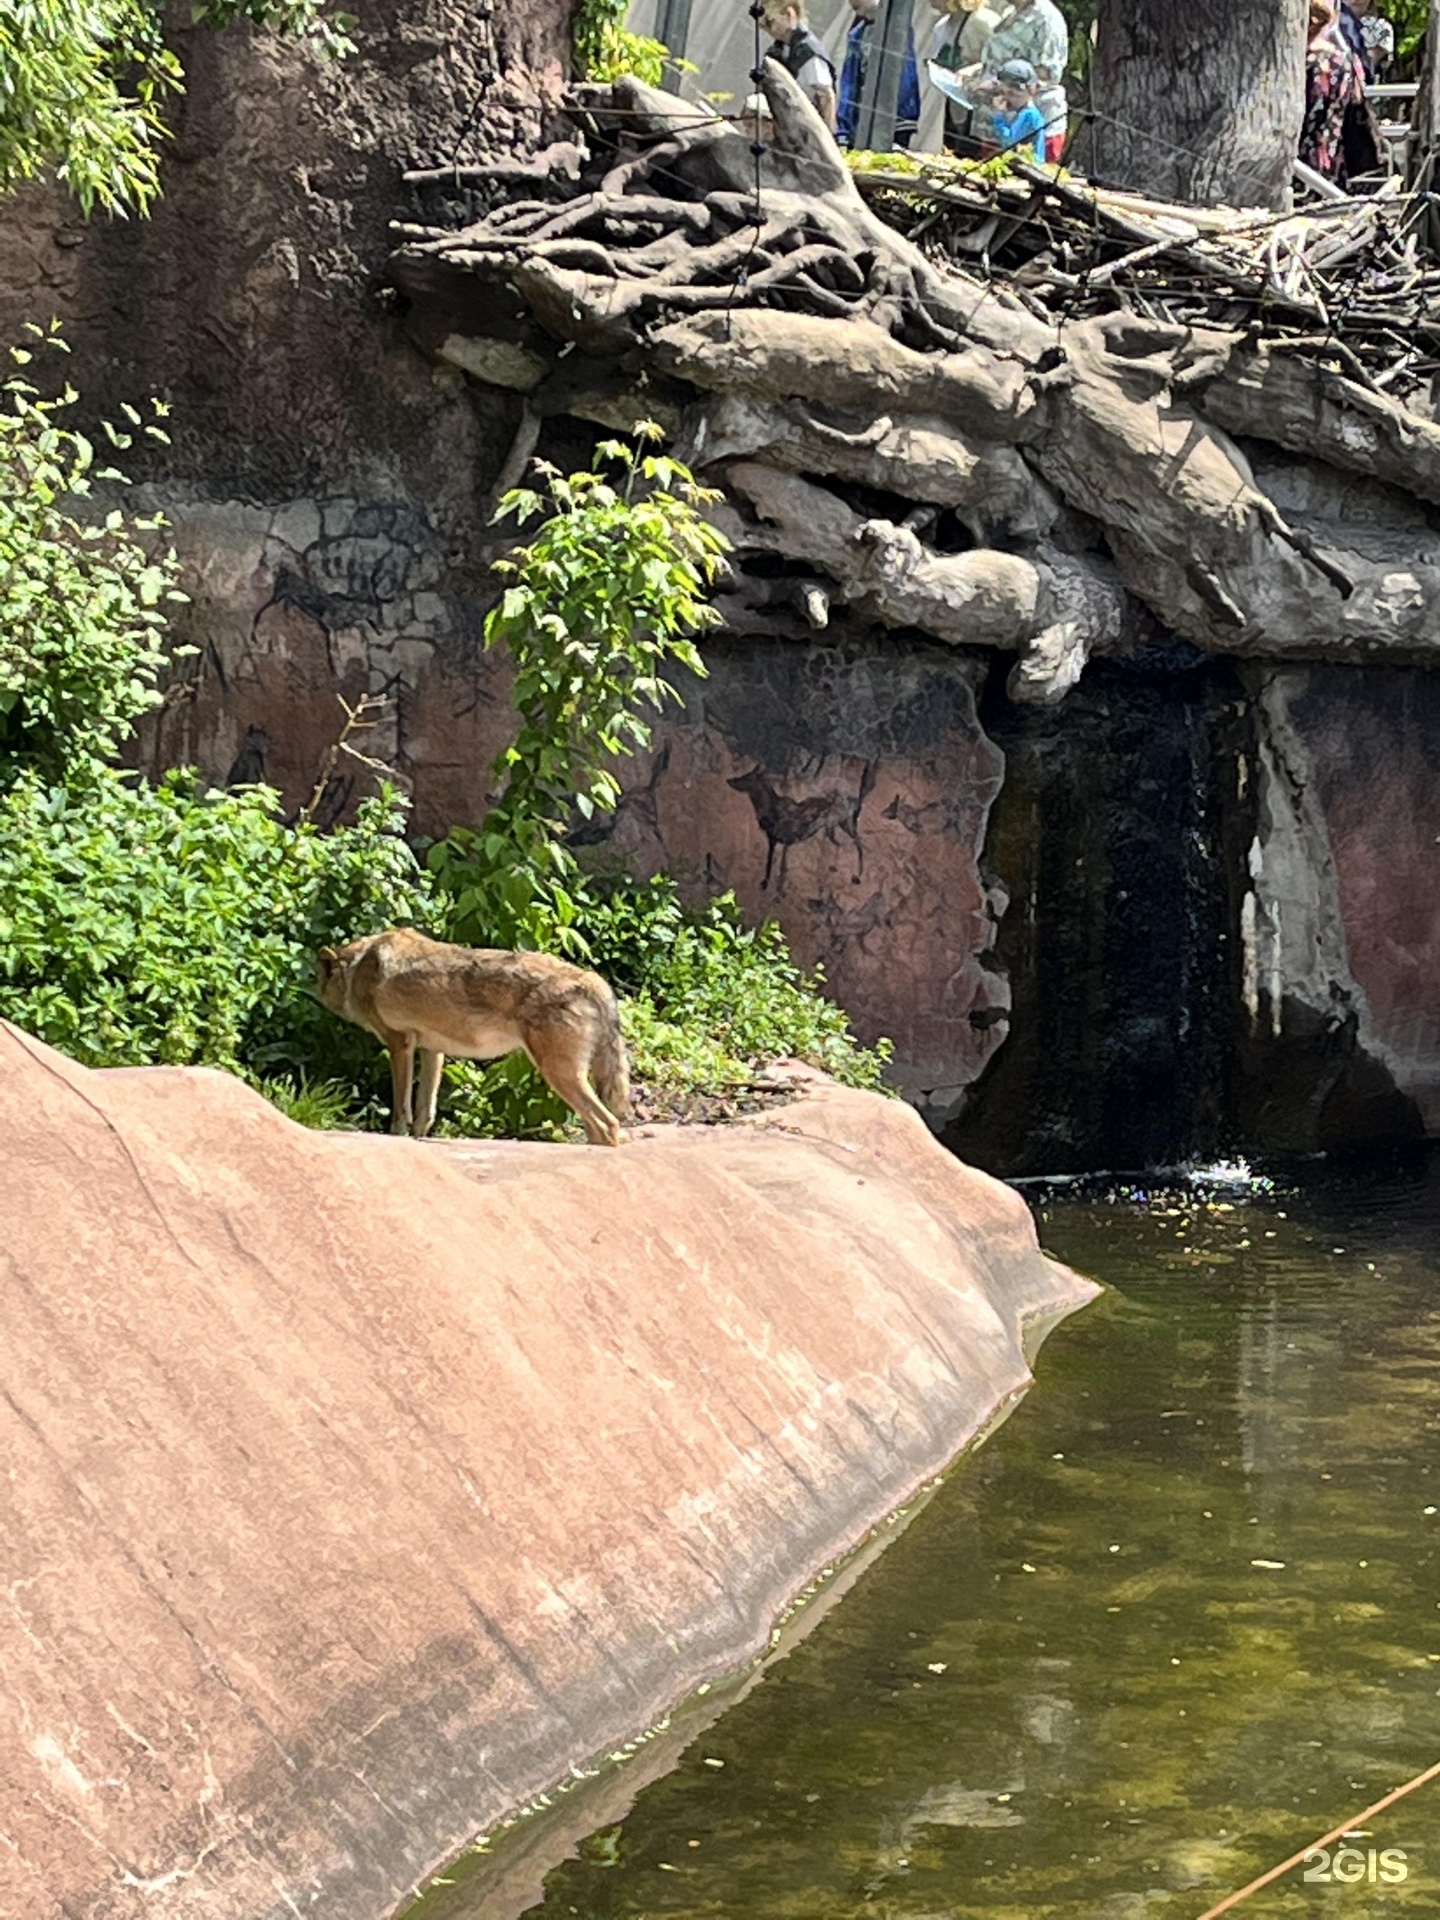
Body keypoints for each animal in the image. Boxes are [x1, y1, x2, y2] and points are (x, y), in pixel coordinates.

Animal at [314, 933, 629, 1152]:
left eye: (318, 982)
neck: (358, 969)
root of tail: (592, 980)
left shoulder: (399, 1043)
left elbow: (401, 1108)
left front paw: (397, 1136)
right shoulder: (432, 1050)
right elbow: (425, 1112)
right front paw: (417, 1139)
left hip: (558, 1075)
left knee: (608, 1126)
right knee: (602, 1127)